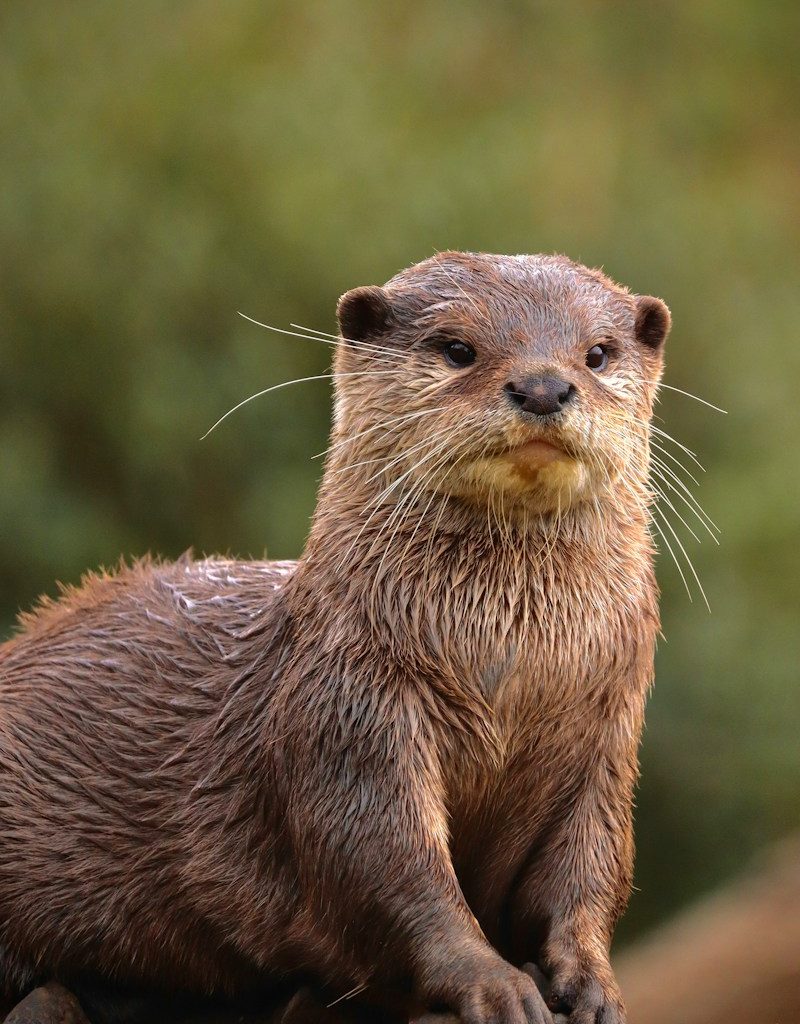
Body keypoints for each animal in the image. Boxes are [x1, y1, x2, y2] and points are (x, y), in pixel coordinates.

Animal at [0, 252, 670, 1024]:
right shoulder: (350, 710)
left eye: (597, 353)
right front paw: (496, 984)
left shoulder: (604, 740)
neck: (507, 671)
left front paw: (589, 983)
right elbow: (386, 867)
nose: (542, 385)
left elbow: (587, 871)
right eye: (457, 348)